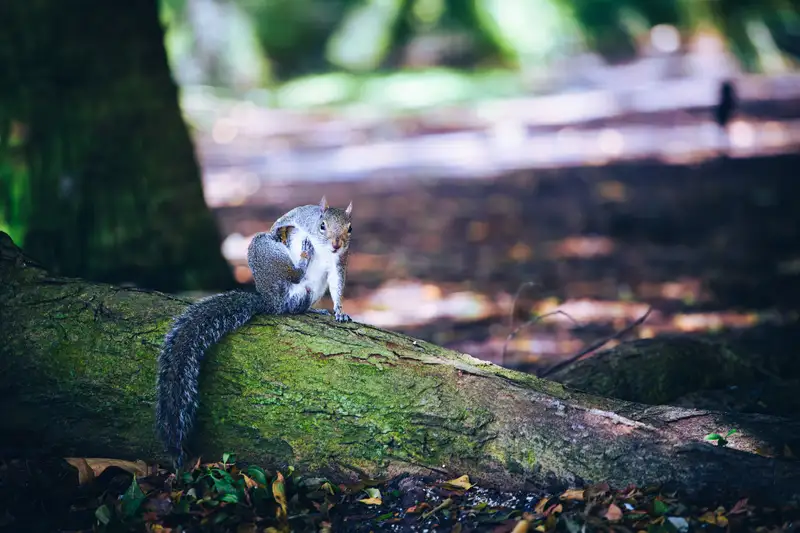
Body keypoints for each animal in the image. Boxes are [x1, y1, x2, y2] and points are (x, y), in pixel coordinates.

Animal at [155, 196, 353, 467]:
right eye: (322, 226)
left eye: (350, 229)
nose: (336, 244)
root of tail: (269, 300)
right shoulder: (298, 218)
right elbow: (282, 223)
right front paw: (290, 235)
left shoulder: (338, 264)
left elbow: (338, 285)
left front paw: (339, 311)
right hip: (266, 253)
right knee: (293, 274)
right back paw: (304, 254)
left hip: (309, 291)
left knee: (298, 305)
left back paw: (314, 309)